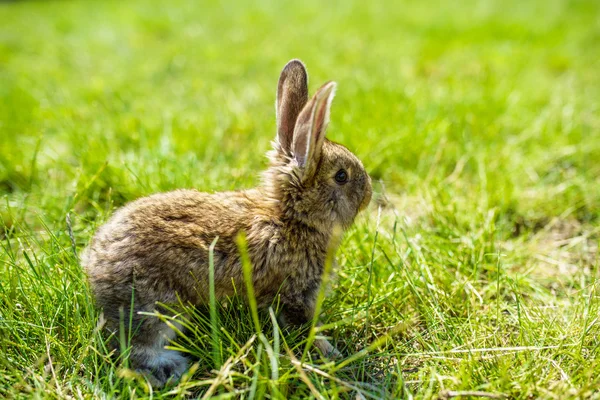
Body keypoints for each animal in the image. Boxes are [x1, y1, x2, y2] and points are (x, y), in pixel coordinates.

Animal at [79, 59, 370, 388]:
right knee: (134, 347)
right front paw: (332, 353)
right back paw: (172, 367)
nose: (369, 193)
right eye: (341, 176)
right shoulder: (295, 294)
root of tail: (92, 264)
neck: (290, 218)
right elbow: (304, 327)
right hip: (158, 306)